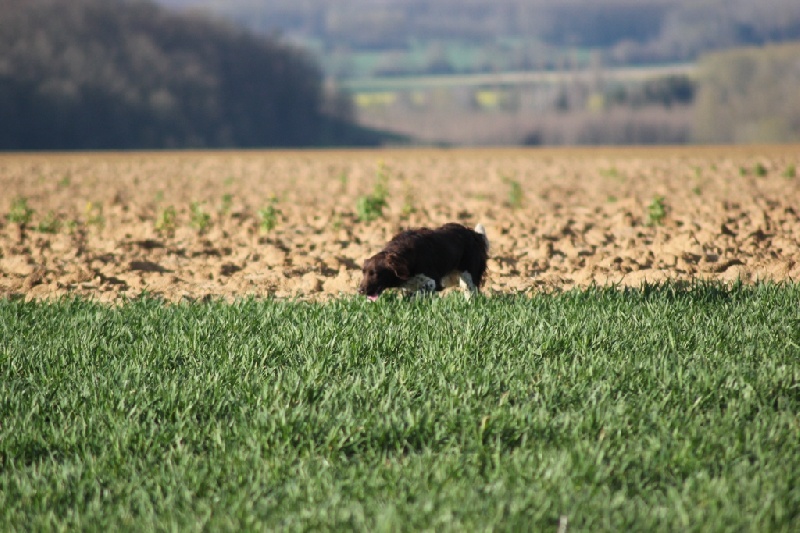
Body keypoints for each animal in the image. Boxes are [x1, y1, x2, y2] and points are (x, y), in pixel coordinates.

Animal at [358, 220, 488, 300]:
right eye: (363, 273)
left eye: (376, 274)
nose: (360, 291)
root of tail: (474, 234)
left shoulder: (432, 282)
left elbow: (417, 296)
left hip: (469, 278)